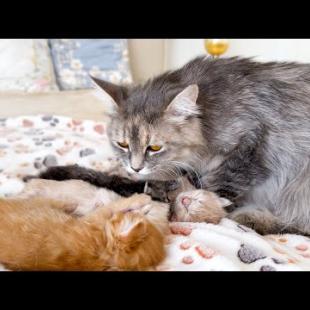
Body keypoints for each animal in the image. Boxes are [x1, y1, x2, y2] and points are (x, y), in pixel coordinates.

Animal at [0, 194, 168, 272]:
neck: (102, 254)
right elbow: (114, 206)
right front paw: (142, 203)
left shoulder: (93, 219)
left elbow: (112, 207)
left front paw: (141, 202)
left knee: (42, 200)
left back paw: (69, 204)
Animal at [92, 55, 310, 235]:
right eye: (122, 144)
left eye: (154, 148)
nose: (135, 168)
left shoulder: (251, 145)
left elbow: (213, 189)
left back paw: (253, 217)